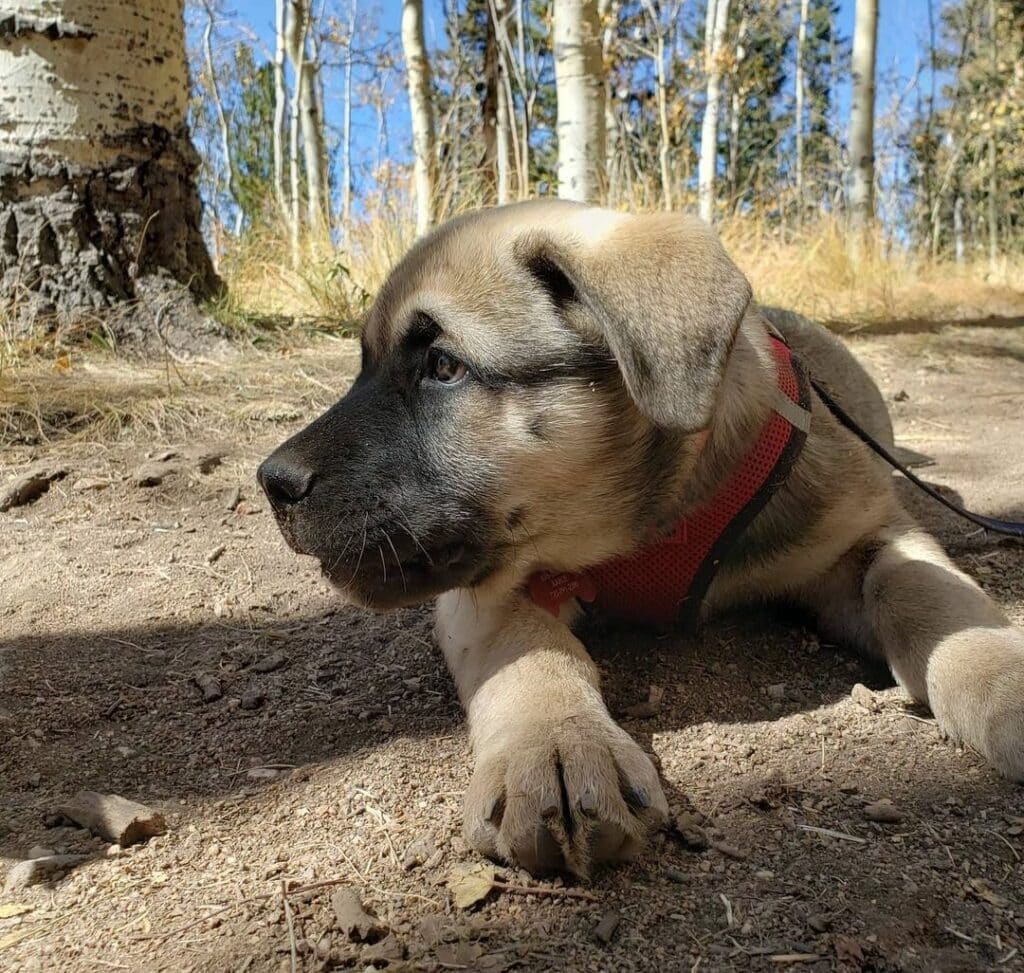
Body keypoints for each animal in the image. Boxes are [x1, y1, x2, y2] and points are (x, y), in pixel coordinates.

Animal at [260, 201, 1024, 880]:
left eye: (443, 366)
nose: (271, 482)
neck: (653, 520)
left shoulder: (867, 532)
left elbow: (922, 590)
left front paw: (998, 674)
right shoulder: (486, 589)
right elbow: (532, 653)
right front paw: (556, 744)